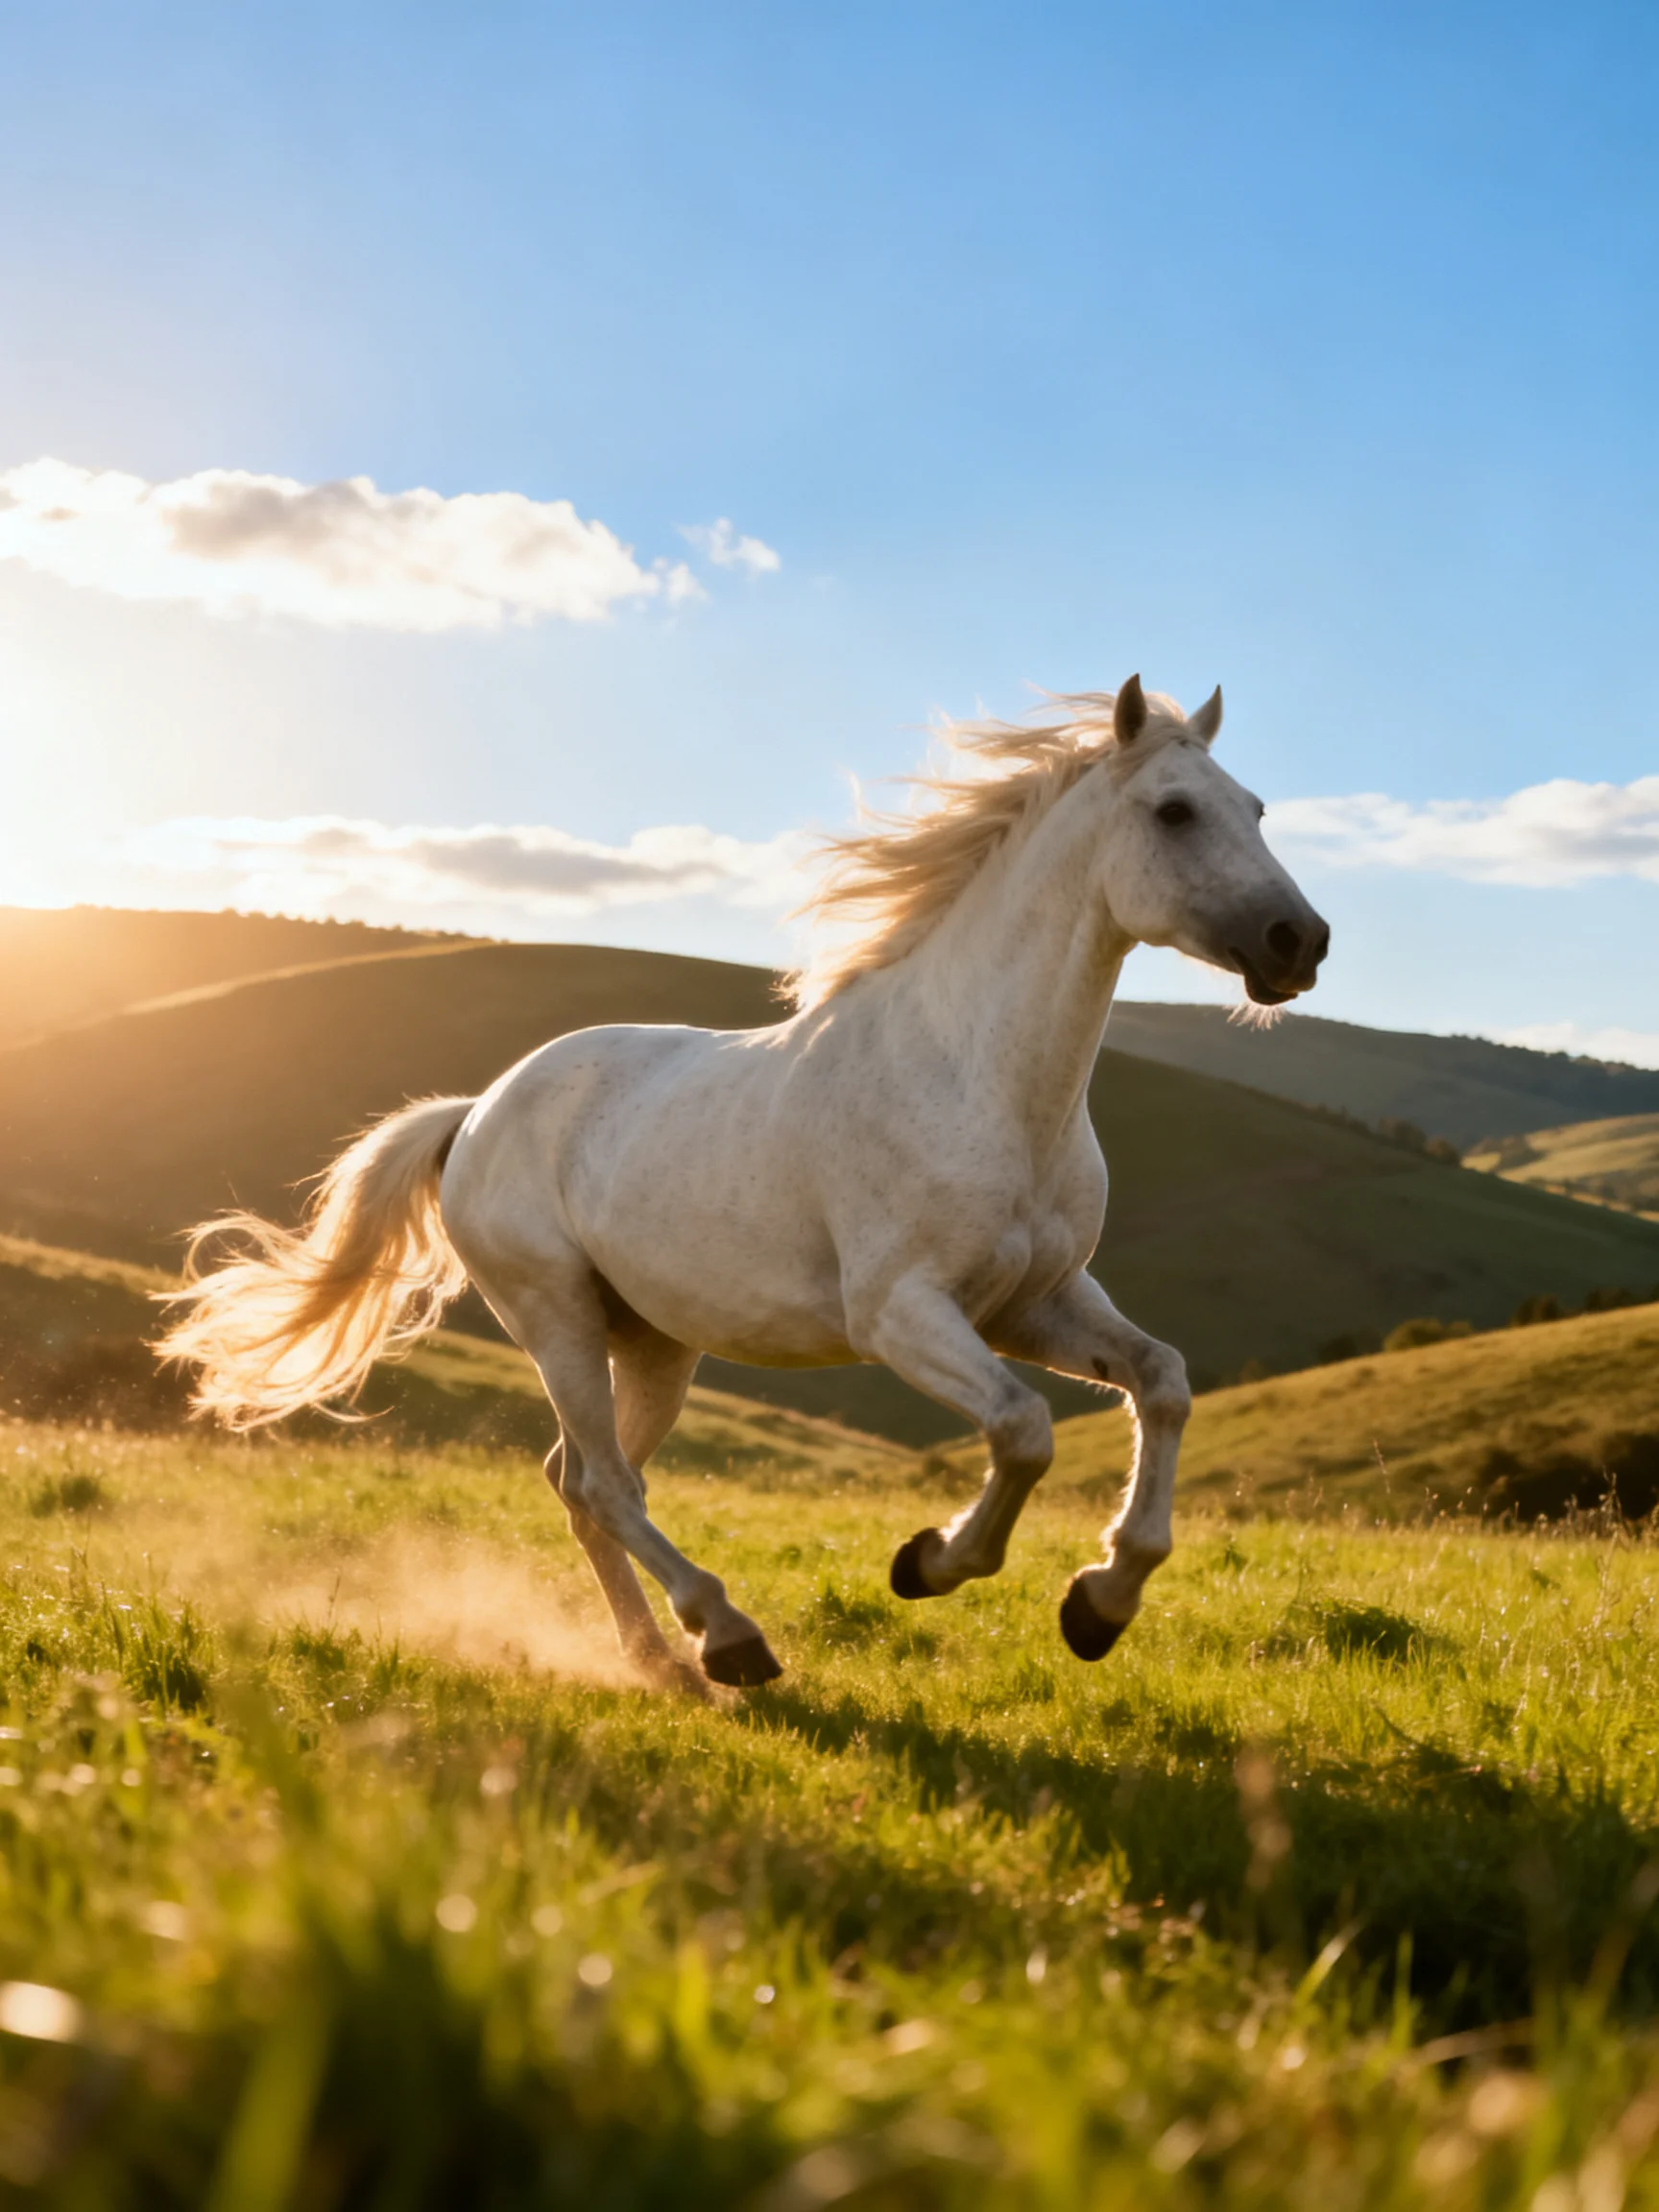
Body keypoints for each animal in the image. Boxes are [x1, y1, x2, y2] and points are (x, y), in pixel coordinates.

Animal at [158, 676, 1328, 1690]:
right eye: (1175, 811)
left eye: (1257, 808)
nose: (1299, 941)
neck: (977, 1076)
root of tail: (479, 1111)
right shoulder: (900, 1312)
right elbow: (1024, 1429)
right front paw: (931, 1564)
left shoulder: (1034, 1302)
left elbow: (1163, 1383)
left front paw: (1101, 1603)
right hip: (555, 1316)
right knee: (604, 1482)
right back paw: (728, 1639)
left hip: (655, 1343)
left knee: (582, 1482)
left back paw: (659, 1656)